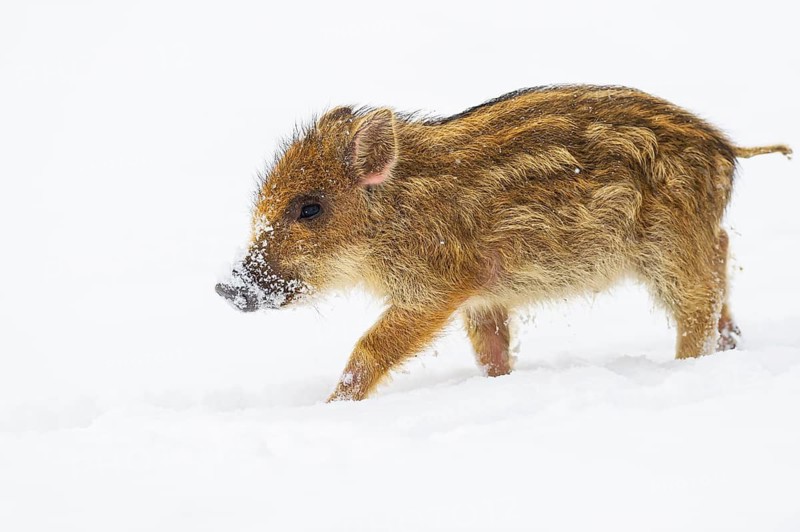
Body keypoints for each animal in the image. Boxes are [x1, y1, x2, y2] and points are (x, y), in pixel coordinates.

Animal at [216, 85, 791, 401]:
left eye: (309, 208)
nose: (226, 288)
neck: (398, 213)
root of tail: (723, 147)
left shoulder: (436, 287)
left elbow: (370, 347)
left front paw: (331, 406)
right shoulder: (483, 296)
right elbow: (491, 352)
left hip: (670, 248)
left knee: (697, 304)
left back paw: (690, 367)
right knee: (720, 263)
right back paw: (734, 342)